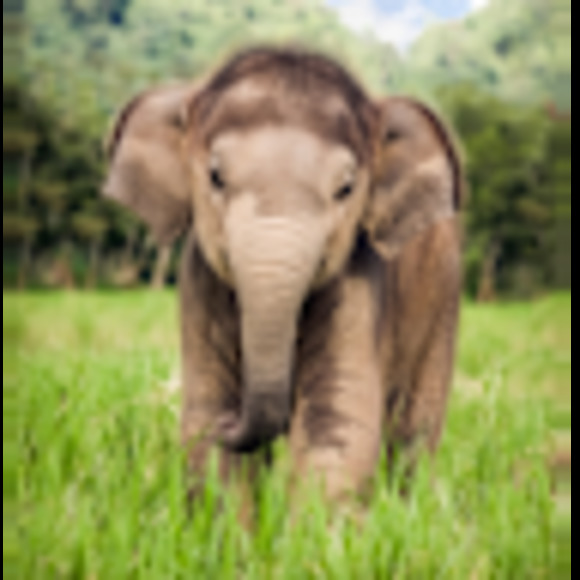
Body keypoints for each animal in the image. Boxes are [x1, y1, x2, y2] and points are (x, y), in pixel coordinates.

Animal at [103, 47, 464, 500]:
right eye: (215, 177)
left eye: (346, 189)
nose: (233, 421)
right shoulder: (199, 281)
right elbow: (207, 424)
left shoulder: (360, 280)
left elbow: (334, 423)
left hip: (443, 299)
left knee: (413, 433)